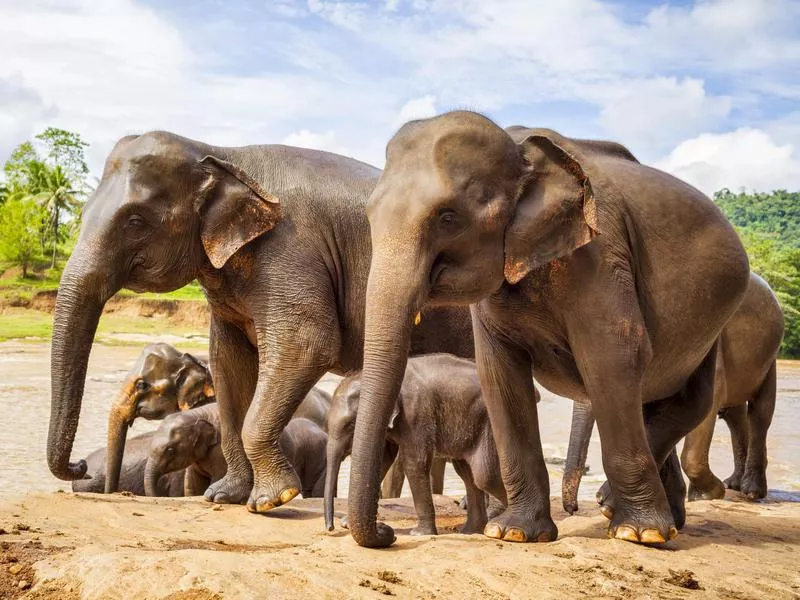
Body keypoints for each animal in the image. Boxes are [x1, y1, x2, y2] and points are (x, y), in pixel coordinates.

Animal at [324, 352, 506, 536]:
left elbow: (414, 463)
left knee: (485, 474)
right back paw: (469, 531)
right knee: (467, 472)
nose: (330, 527)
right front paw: (347, 523)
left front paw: (420, 534)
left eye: (351, 425)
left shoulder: (416, 413)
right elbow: (382, 460)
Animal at [346, 109, 752, 548]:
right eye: (369, 217)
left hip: (713, 322)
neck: (519, 146)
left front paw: (636, 533)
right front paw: (514, 532)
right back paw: (664, 519)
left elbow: (613, 357)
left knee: (690, 398)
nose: (388, 533)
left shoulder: (601, 253)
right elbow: (501, 376)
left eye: (448, 218)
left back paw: (630, 517)